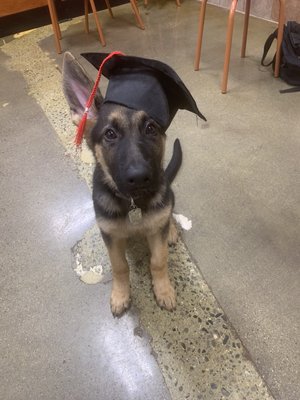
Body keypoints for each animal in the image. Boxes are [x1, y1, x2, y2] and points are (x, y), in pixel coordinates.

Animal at [62, 52, 186, 316]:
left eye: (151, 129)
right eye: (110, 134)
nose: (139, 177)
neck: (132, 203)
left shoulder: (156, 235)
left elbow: (158, 260)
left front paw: (163, 290)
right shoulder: (110, 235)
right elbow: (120, 266)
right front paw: (120, 294)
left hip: (167, 196)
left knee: (168, 212)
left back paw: (170, 229)